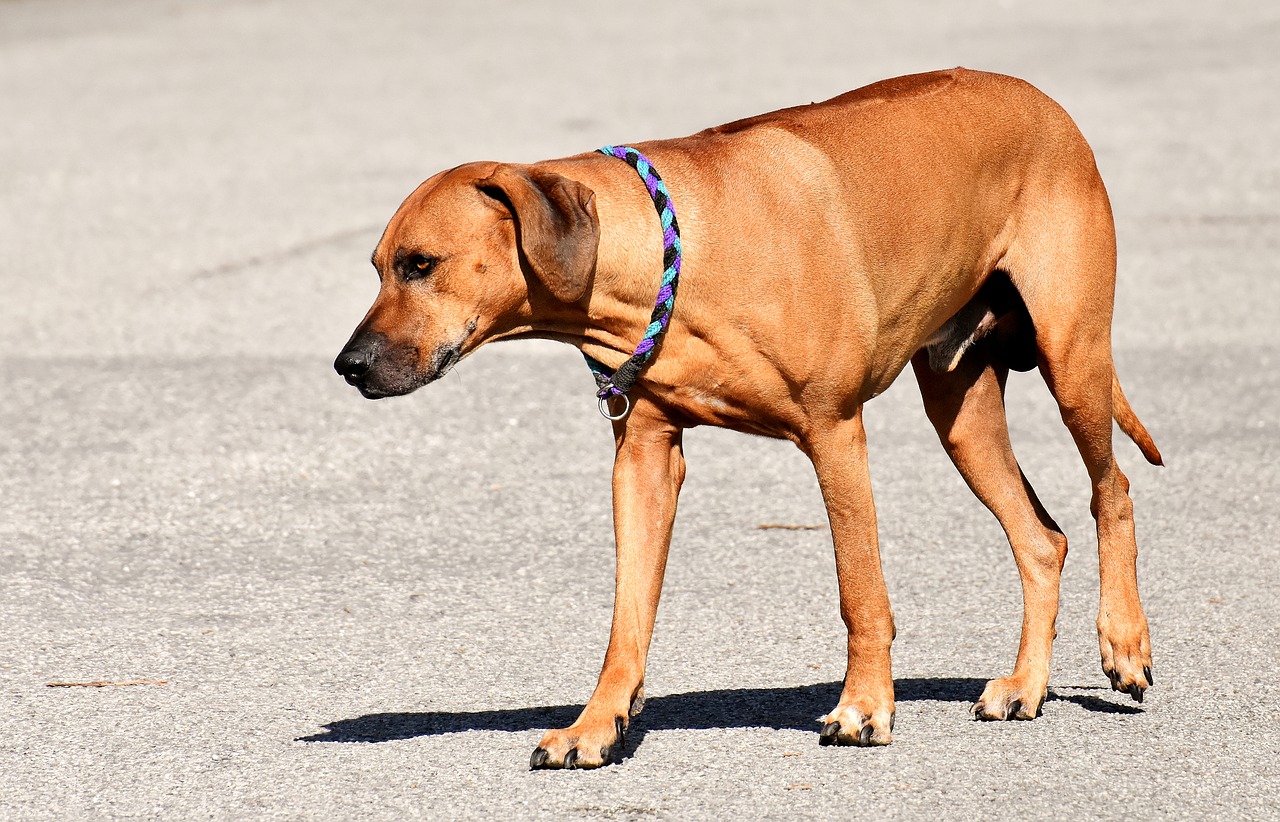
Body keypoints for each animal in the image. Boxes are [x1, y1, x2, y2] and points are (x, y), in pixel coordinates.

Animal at [337, 67, 1162, 763]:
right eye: (377, 268)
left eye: (420, 264)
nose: (348, 366)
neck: (676, 253)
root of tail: (1044, 101)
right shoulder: (643, 456)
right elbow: (626, 616)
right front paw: (596, 723)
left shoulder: (835, 433)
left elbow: (860, 592)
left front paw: (864, 708)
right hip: (960, 411)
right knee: (1043, 539)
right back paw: (1024, 686)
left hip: (1073, 359)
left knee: (1112, 490)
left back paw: (1125, 643)